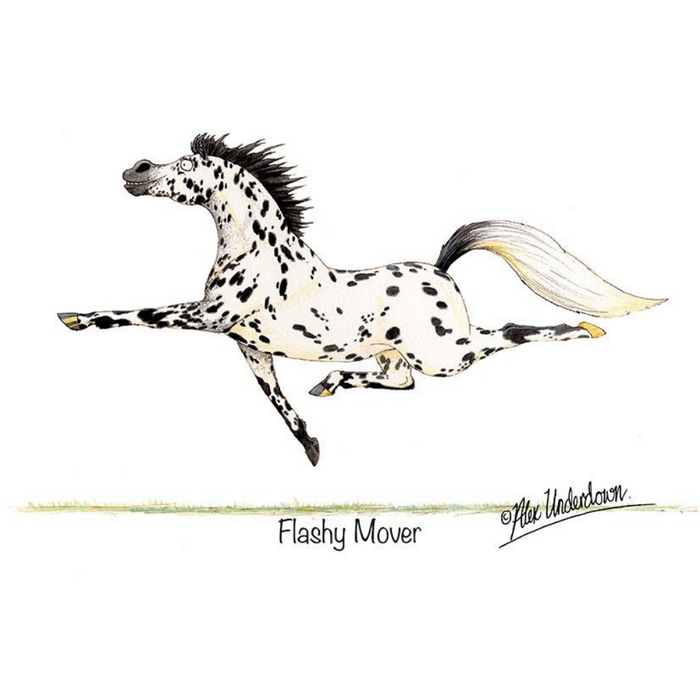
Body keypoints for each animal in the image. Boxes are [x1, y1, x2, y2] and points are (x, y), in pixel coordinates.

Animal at [58, 134, 665, 465]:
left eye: (186, 167)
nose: (134, 170)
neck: (260, 254)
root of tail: (440, 271)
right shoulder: (248, 346)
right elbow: (276, 400)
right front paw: (312, 448)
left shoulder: (208, 317)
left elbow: (135, 315)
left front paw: (71, 318)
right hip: (398, 354)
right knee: (399, 381)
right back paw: (329, 382)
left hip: (445, 353)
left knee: (508, 334)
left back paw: (588, 330)